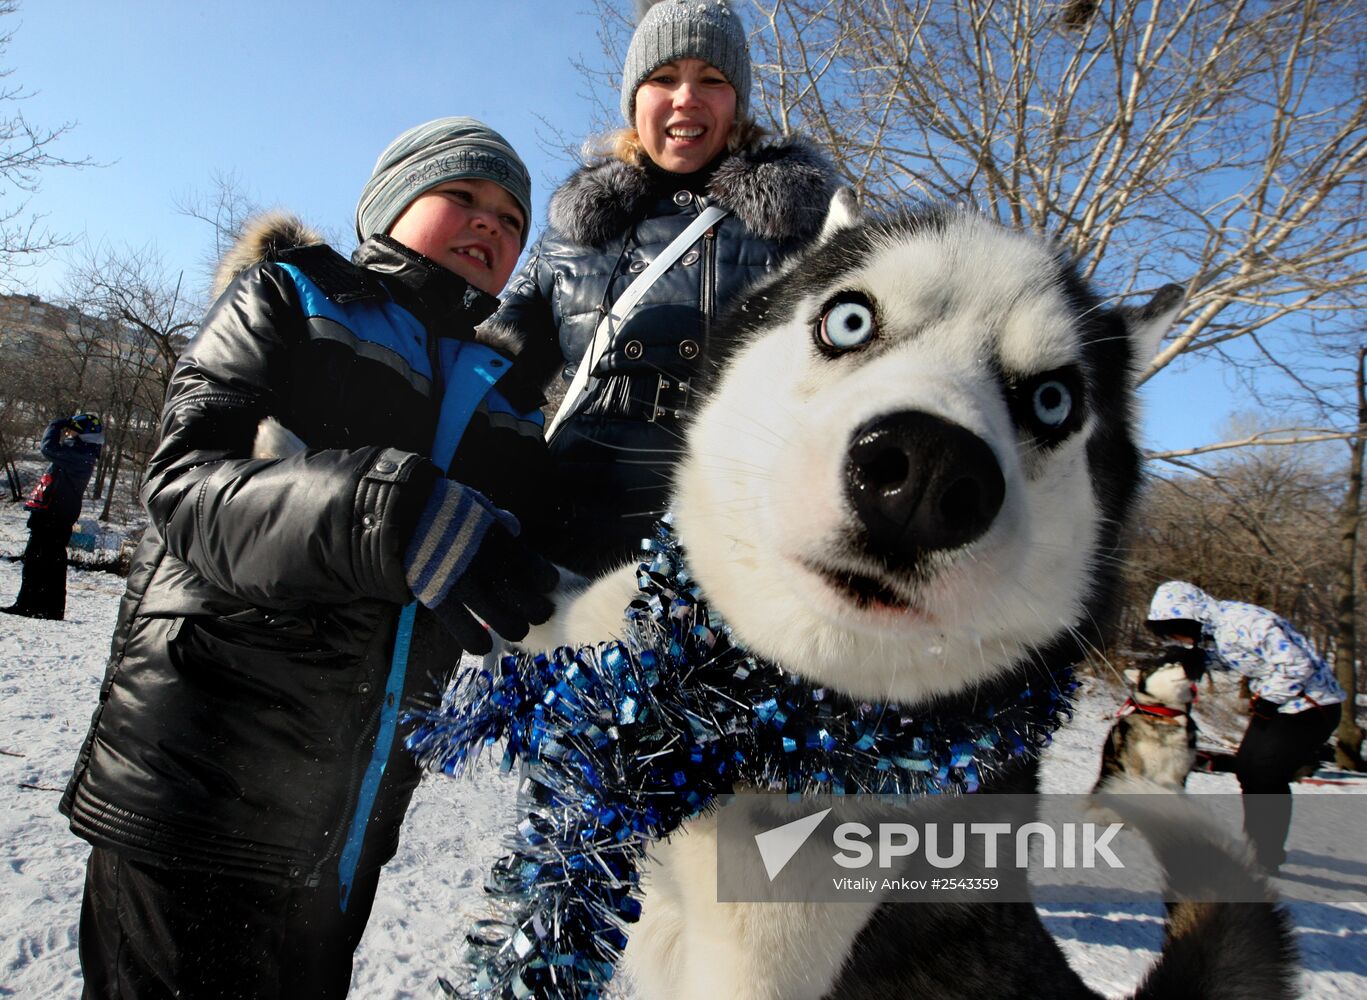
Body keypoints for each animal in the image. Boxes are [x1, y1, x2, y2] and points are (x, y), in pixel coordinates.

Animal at [1088, 644, 1208, 792]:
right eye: (1165, 666)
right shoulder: (1136, 771)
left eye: (1178, 662)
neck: (1165, 716)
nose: (1182, 666)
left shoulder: (1175, 775)